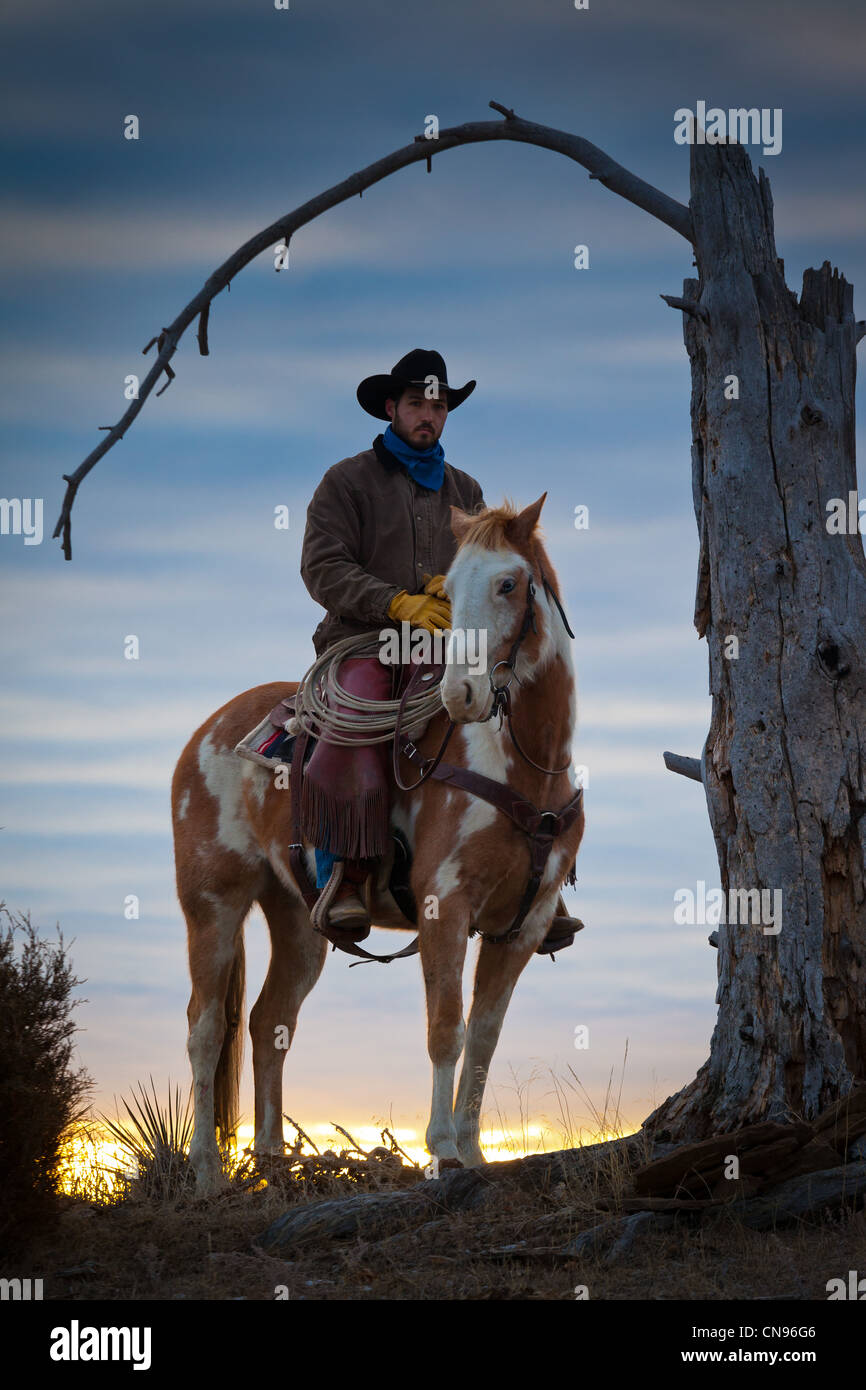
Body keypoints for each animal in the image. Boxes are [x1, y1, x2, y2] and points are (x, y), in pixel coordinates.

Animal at [173, 494, 586, 1189]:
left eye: (508, 584)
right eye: (451, 588)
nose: (461, 693)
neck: (525, 767)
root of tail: (209, 730)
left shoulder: (521, 927)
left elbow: (484, 1036)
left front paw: (475, 1152)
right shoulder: (446, 905)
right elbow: (446, 1028)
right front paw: (442, 1151)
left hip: (300, 921)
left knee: (269, 1022)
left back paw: (273, 1163)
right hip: (213, 906)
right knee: (205, 1029)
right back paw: (206, 1170)